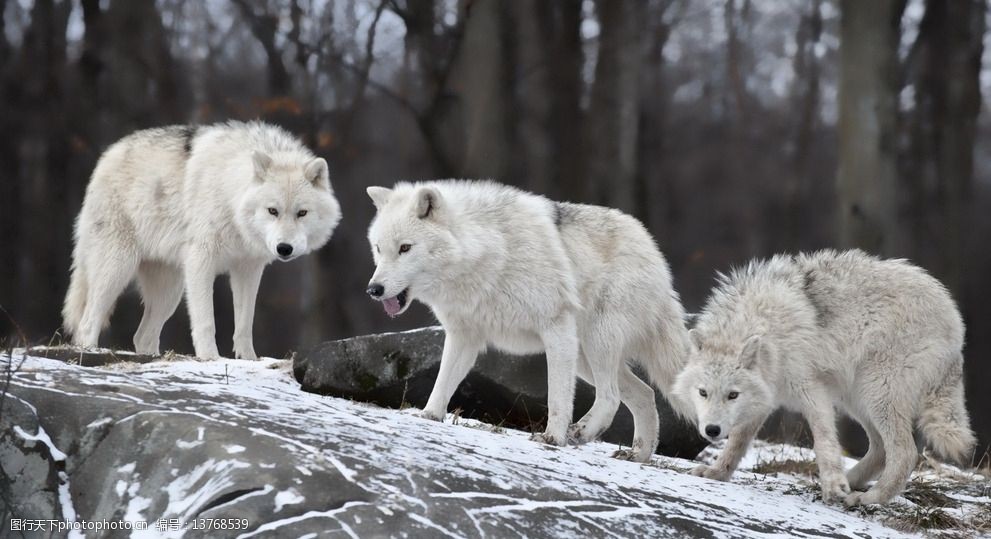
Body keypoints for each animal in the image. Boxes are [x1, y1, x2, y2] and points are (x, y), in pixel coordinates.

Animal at [63, 121, 340, 358]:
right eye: (273, 211)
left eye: (302, 213)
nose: (284, 248)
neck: (230, 193)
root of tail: (107, 155)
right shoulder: (201, 261)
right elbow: (206, 321)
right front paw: (210, 358)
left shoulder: (248, 269)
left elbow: (244, 324)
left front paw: (248, 360)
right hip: (118, 269)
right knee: (87, 323)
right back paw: (89, 351)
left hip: (169, 292)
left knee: (142, 336)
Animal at [362, 180, 688, 460]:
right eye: (378, 248)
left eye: (405, 248)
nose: (373, 289)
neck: (488, 253)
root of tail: (653, 249)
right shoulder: (463, 336)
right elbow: (442, 382)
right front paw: (429, 416)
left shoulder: (556, 328)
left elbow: (557, 396)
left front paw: (552, 438)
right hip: (584, 357)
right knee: (644, 394)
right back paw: (638, 455)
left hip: (595, 343)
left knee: (611, 396)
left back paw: (581, 433)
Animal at [676, 249, 976, 506]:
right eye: (703, 392)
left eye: (732, 395)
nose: (711, 430)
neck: (767, 328)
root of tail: (955, 319)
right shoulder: (764, 398)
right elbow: (737, 443)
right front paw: (717, 473)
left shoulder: (811, 390)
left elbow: (823, 442)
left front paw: (833, 485)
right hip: (857, 399)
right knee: (880, 450)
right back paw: (850, 482)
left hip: (876, 393)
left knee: (905, 453)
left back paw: (868, 498)